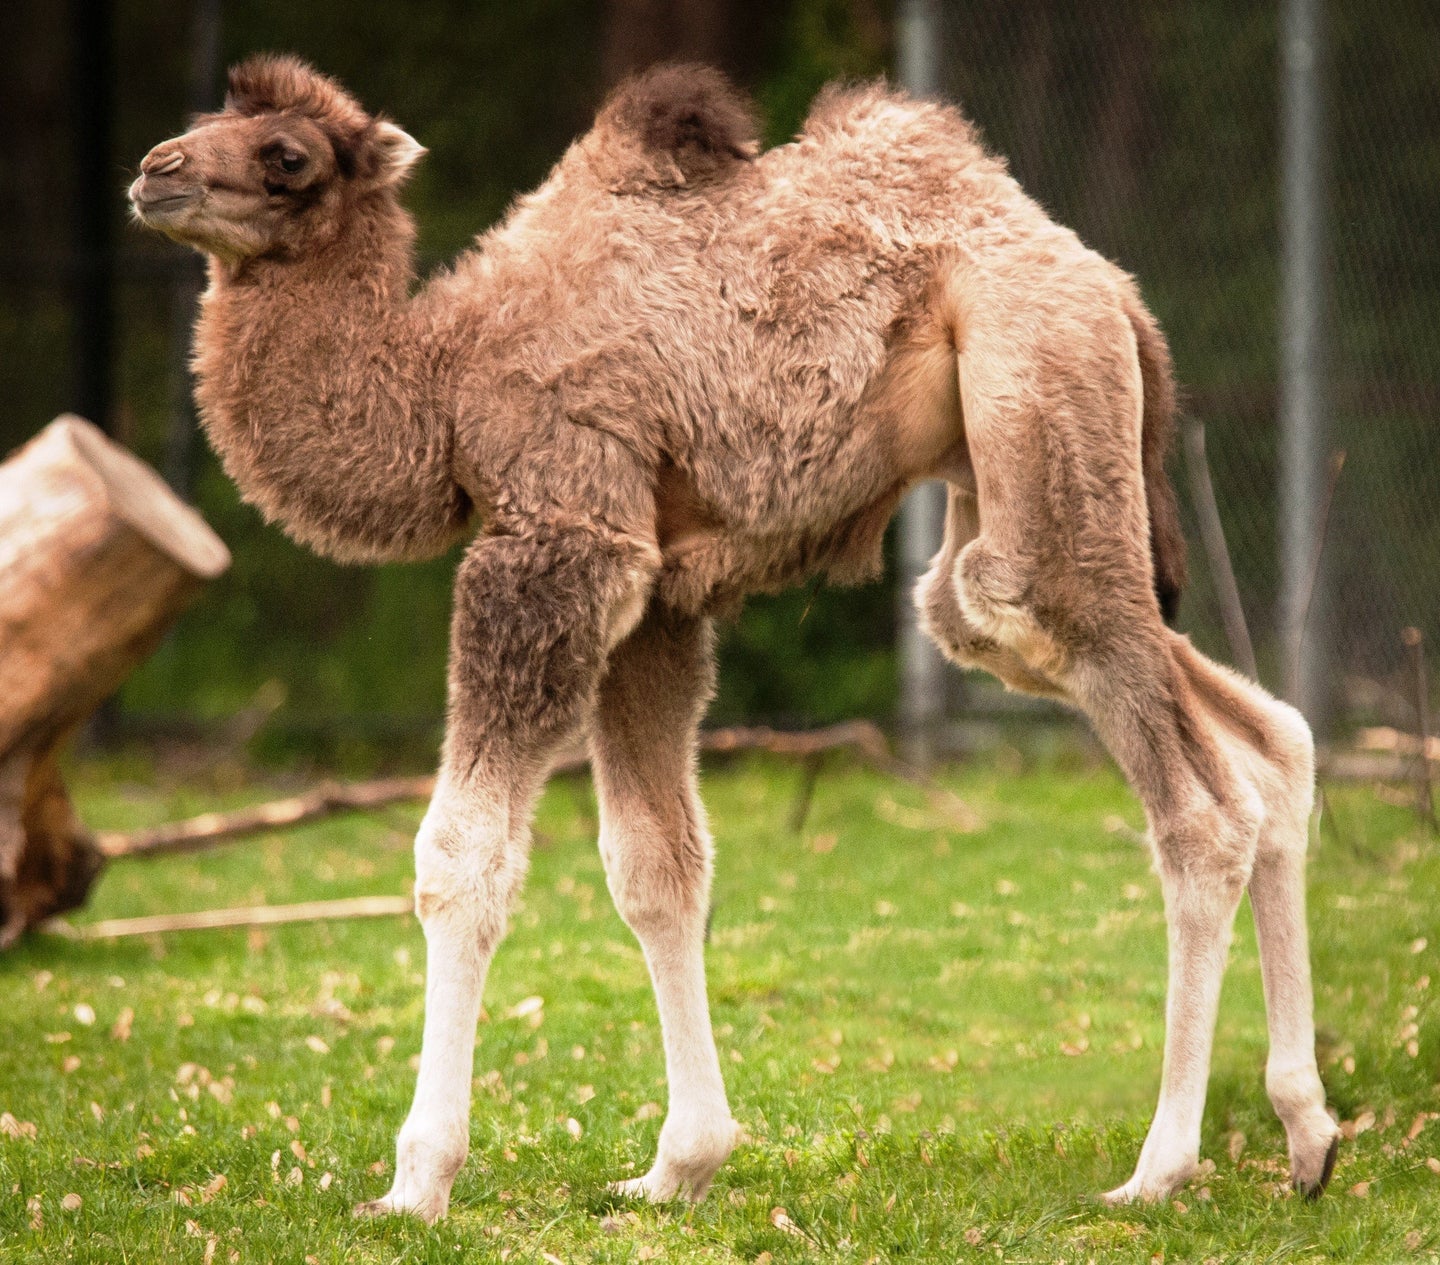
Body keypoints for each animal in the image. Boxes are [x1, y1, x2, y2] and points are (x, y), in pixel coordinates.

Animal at [129, 55, 1339, 1221]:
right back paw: (1307, 1135)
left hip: (1038, 396)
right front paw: (678, 1166)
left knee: (1190, 799)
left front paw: (415, 1183)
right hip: (997, 495)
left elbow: (459, 862)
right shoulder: (652, 597)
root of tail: (1114, 291)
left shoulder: (560, 540)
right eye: (217, 112)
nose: (156, 168)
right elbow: (655, 867)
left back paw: (1159, 1170)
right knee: (1258, 733)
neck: (446, 381)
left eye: (288, 156)